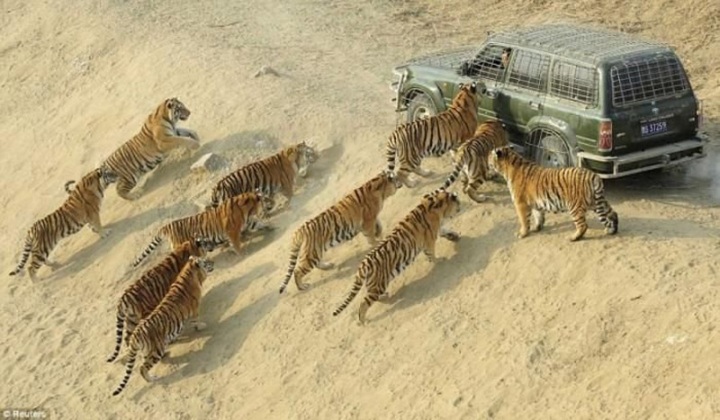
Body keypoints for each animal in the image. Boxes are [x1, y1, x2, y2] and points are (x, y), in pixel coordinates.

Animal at [111, 256, 214, 396]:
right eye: (207, 261)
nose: (213, 262)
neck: (189, 272)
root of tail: (136, 335)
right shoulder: (194, 309)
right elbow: (196, 321)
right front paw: (201, 326)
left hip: (142, 339)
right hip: (156, 350)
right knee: (143, 367)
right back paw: (152, 379)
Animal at [131, 190, 275, 268]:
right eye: (267, 198)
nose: (273, 202)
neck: (247, 208)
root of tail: (166, 226)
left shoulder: (249, 222)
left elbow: (259, 223)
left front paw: (272, 227)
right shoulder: (232, 231)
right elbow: (237, 244)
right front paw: (242, 254)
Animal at [332, 188, 461, 324]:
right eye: (457, 202)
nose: (460, 206)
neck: (434, 205)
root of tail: (363, 266)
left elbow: (445, 231)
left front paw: (454, 236)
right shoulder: (429, 240)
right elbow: (432, 253)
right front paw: (439, 260)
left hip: (373, 285)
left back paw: (383, 296)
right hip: (378, 285)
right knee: (363, 304)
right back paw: (363, 321)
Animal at [487, 145, 619, 241]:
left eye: (488, 156)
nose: (486, 162)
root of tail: (593, 176)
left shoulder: (520, 204)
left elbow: (524, 220)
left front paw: (522, 233)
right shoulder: (535, 203)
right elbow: (538, 216)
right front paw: (536, 228)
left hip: (575, 206)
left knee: (583, 225)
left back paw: (573, 238)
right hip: (595, 202)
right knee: (612, 213)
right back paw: (611, 230)